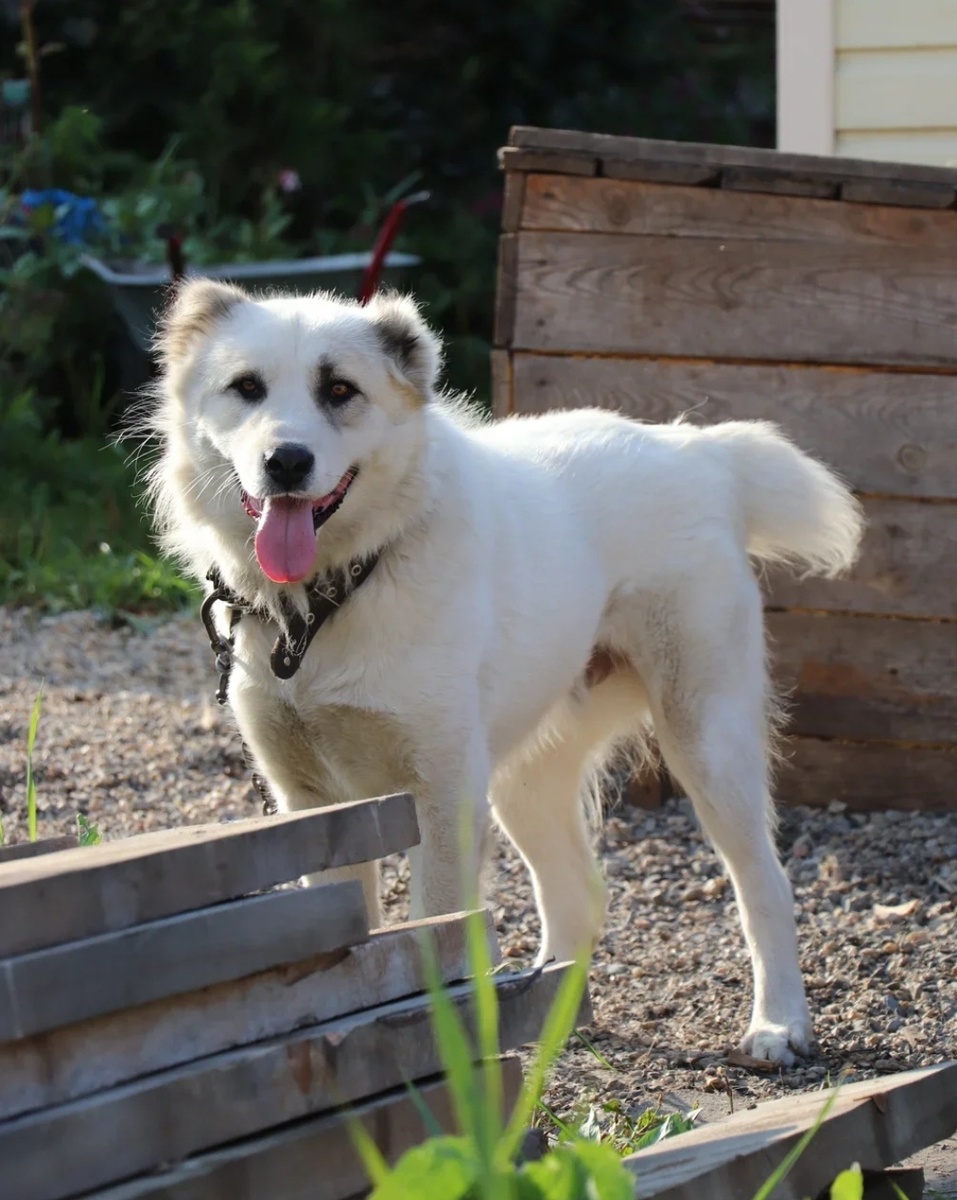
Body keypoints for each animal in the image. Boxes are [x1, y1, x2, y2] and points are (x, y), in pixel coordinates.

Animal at [146, 278, 863, 1060]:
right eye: (246, 388)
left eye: (339, 390)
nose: (286, 462)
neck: (334, 594)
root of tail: (695, 450)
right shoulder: (313, 804)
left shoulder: (442, 796)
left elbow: (437, 932)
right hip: (524, 781)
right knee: (578, 895)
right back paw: (546, 1026)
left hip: (707, 744)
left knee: (764, 884)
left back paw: (778, 1025)